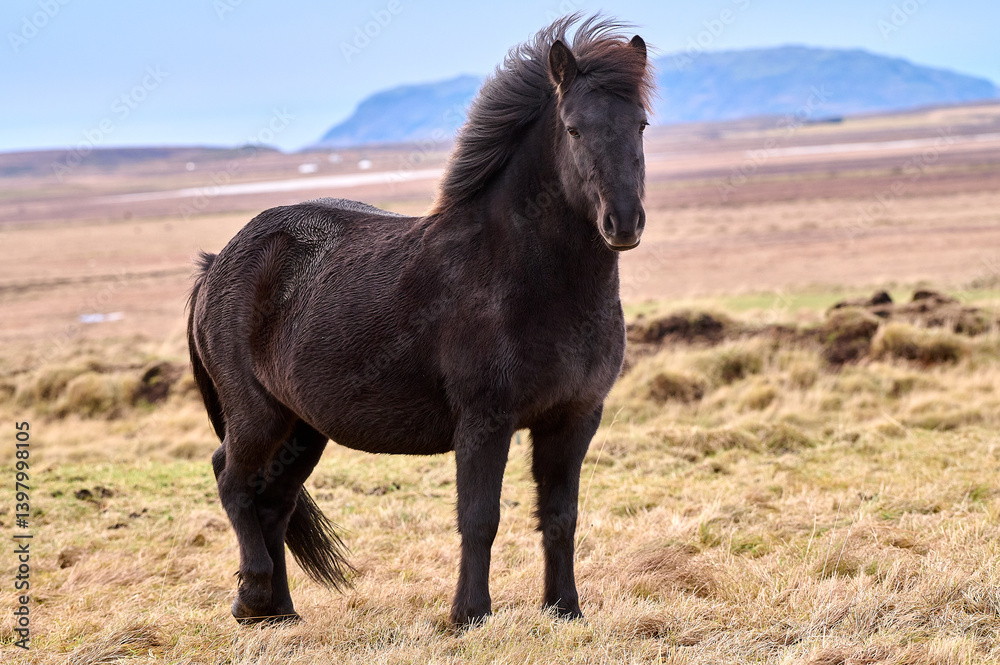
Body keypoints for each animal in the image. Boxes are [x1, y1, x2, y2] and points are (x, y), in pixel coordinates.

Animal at [187, 14, 654, 627]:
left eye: (641, 124)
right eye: (574, 129)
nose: (623, 222)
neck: (522, 276)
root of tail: (218, 263)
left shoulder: (574, 418)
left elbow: (560, 517)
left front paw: (565, 610)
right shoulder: (484, 421)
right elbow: (480, 519)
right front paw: (469, 615)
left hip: (302, 427)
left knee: (274, 502)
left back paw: (280, 612)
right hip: (257, 415)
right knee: (233, 481)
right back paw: (252, 597)